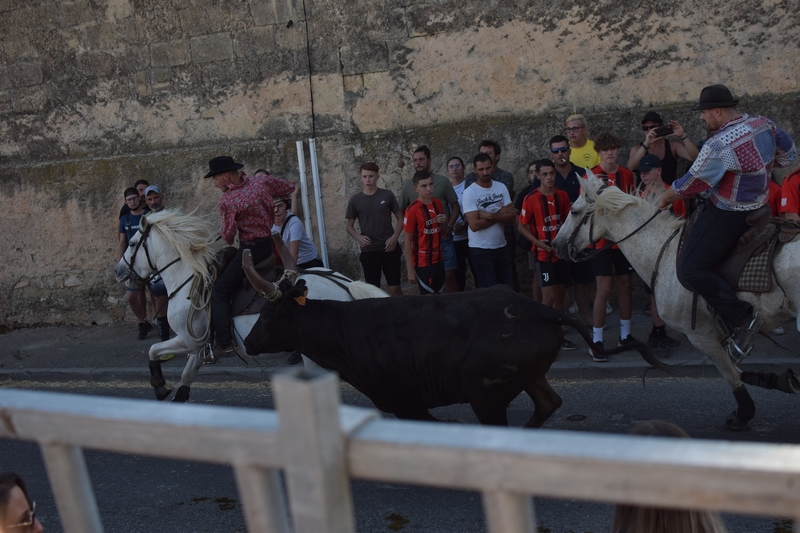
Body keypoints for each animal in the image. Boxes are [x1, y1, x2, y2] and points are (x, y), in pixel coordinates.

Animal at [114, 210, 387, 402]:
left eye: (132, 243)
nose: (118, 271)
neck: (187, 278)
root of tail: (347, 288)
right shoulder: (198, 347)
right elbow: (186, 377)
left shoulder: (187, 340)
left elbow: (153, 350)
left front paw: (159, 385)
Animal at [242, 251, 663, 427]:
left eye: (266, 314)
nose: (247, 344)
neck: (346, 325)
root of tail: (540, 310)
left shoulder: (406, 403)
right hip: (526, 377)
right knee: (548, 402)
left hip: (488, 396)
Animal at [552, 175, 800, 431]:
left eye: (574, 211)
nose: (555, 244)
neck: (665, 252)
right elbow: (738, 371)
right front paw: (779, 380)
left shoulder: (701, 336)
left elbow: (730, 373)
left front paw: (743, 414)